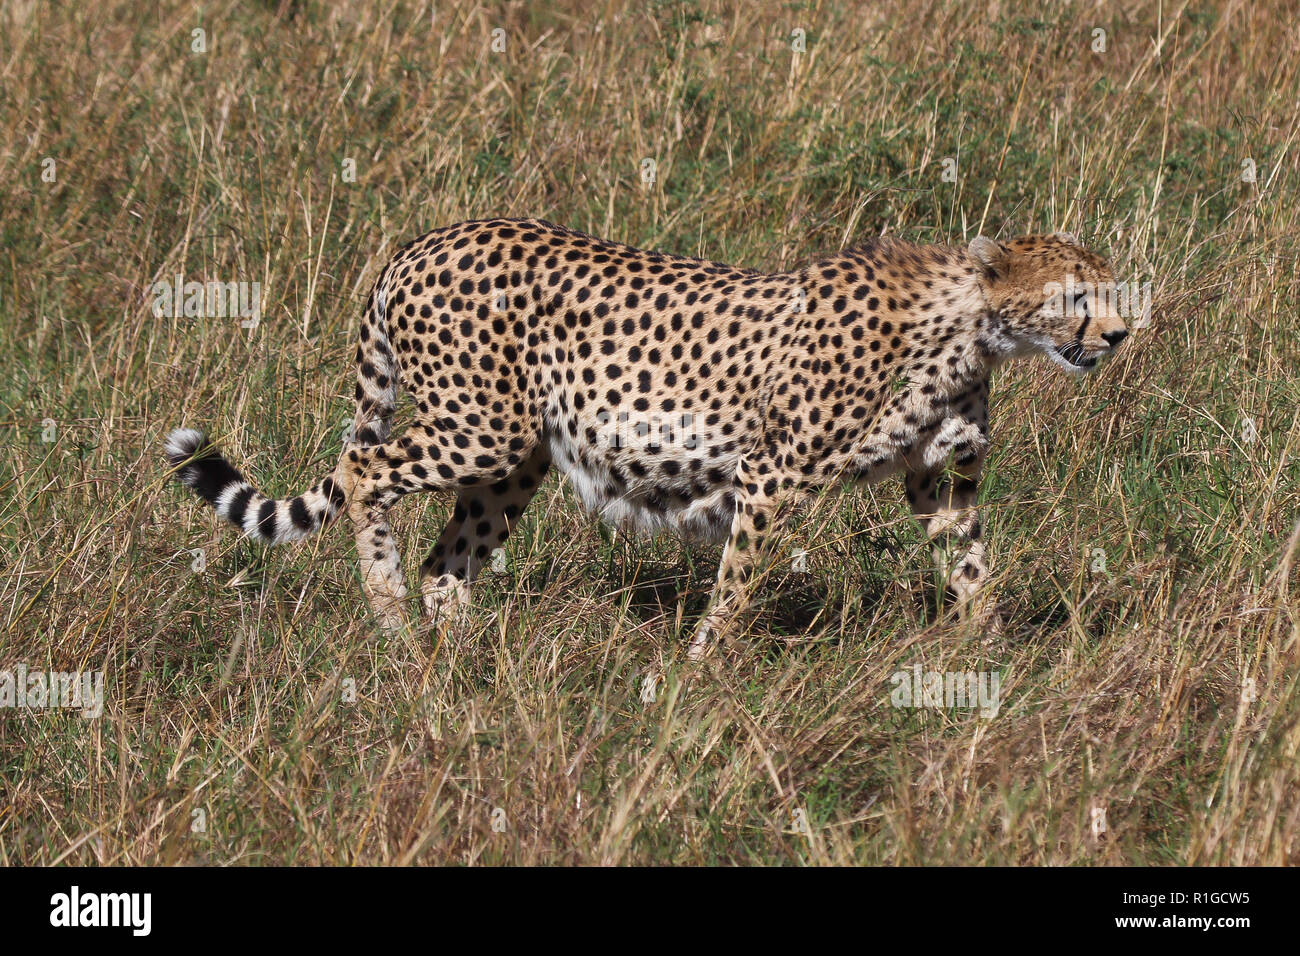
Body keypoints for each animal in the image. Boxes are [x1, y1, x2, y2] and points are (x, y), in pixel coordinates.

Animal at [165, 221, 1128, 660]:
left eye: (1112, 291)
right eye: (1077, 297)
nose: (1119, 335)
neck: (969, 326)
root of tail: (421, 240)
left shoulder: (941, 482)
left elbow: (971, 566)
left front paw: (996, 661)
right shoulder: (773, 473)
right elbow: (738, 584)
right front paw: (703, 672)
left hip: (515, 459)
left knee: (450, 557)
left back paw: (468, 659)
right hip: (480, 429)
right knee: (365, 466)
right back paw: (395, 623)